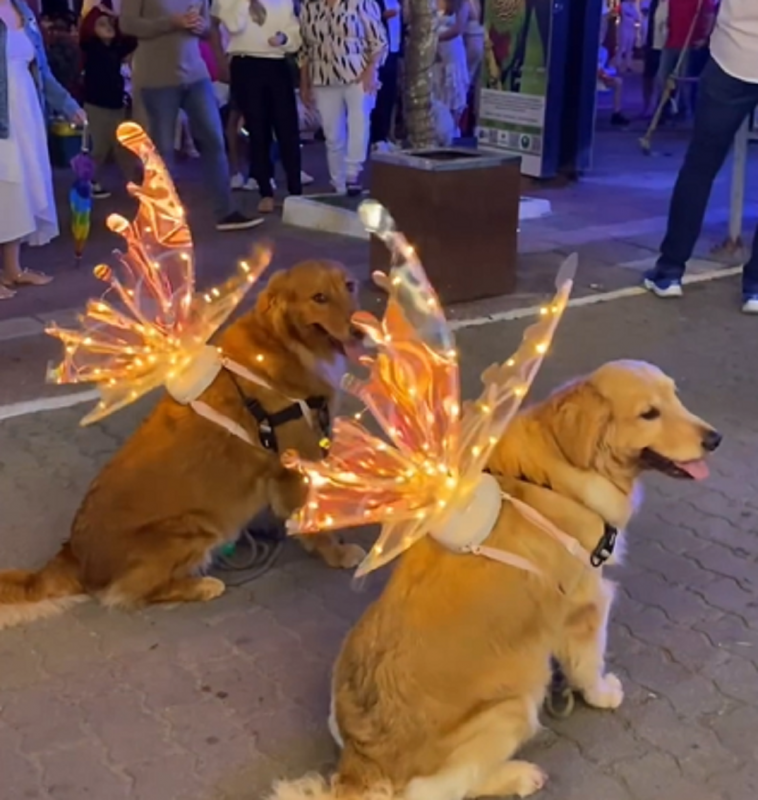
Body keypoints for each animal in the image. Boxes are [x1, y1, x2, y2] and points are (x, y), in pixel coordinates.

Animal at [0, 260, 368, 628]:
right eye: (319, 297)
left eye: (350, 286)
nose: (361, 330)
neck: (282, 342)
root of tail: (74, 555)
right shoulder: (293, 462)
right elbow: (312, 521)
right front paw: (336, 552)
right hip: (195, 528)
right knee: (134, 591)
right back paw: (201, 585)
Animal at [270, 360, 720, 800]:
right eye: (649, 414)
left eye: (675, 396)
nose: (715, 439)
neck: (559, 477)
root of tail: (361, 767)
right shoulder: (586, 604)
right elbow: (588, 663)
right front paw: (602, 694)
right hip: (515, 701)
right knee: (443, 789)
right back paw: (518, 776)